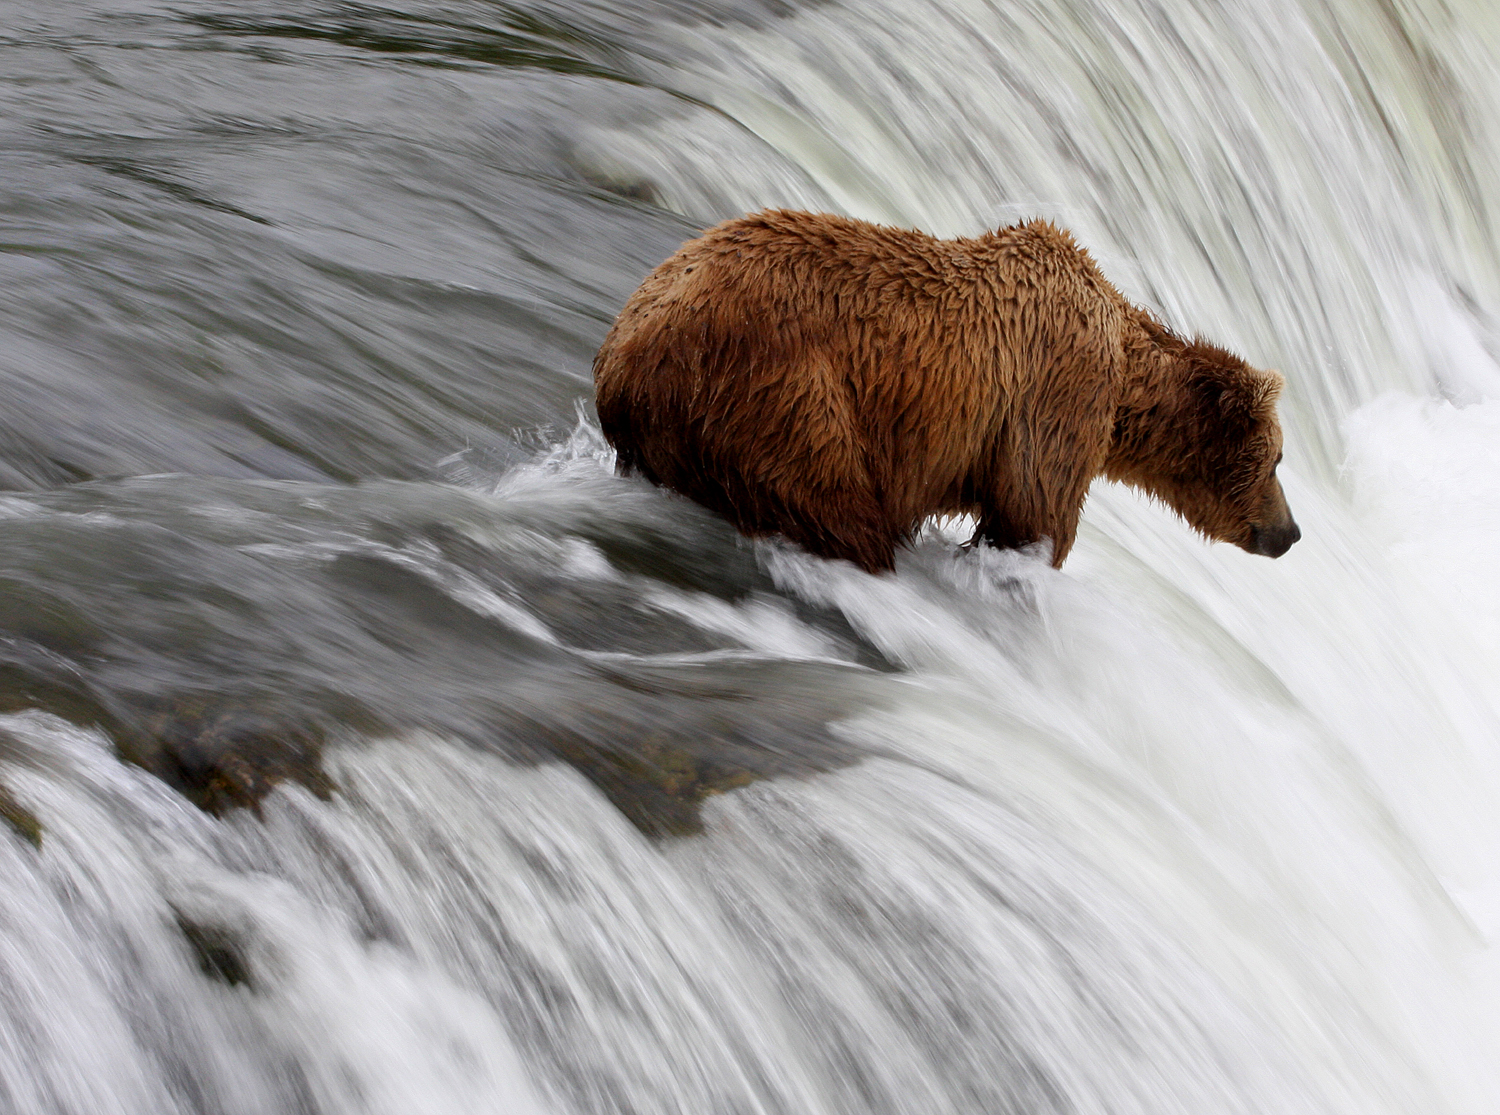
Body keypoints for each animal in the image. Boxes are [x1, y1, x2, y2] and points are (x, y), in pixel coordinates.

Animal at [593, 209, 1299, 573]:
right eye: (1277, 459)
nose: (1290, 533)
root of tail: (625, 345)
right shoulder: (1059, 397)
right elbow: (1033, 516)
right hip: (779, 395)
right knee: (840, 509)